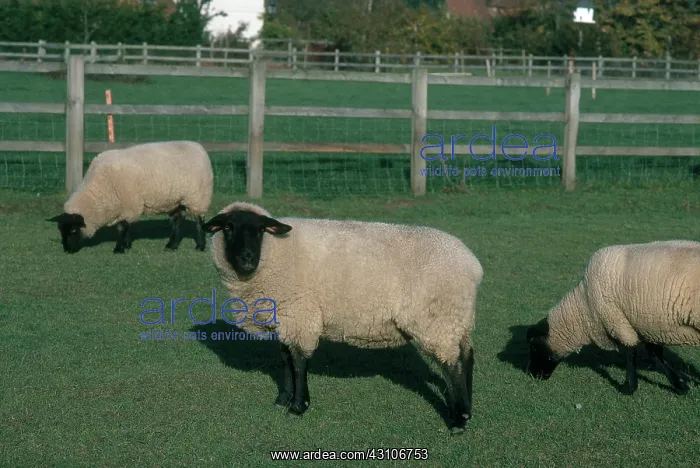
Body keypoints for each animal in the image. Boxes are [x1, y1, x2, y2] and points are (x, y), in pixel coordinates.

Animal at [47, 140, 213, 254]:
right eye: (60, 230)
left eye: (73, 230)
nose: (67, 250)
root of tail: (198, 147)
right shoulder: (125, 206)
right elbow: (126, 227)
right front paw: (126, 245)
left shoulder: (129, 204)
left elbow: (122, 227)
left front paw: (119, 248)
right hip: (176, 199)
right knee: (178, 221)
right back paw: (171, 245)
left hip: (197, 196)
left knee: (199, 220)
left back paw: (200, 245)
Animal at [202, 201, 484, 434]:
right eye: (228, 227)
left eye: (261, 230)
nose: (247, 260)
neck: (276, 252)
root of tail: (473, 264)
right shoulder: (285, 317)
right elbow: (285, 358)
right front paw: (283, 399)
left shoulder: (300, 314)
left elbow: (299, 362)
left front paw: (298, 406)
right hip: (458, 318)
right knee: (466, 357)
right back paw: (466, 407)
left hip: (437, 319)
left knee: (452, 365)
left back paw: (458, 420)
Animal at [527, 240, 700, 395]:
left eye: (534, 346)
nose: (532, 375)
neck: (584, 306)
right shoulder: (649, 326)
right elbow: (655, 355)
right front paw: (681, 386)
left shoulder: (617, 320)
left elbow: (630, 352)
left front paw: (629, 388)